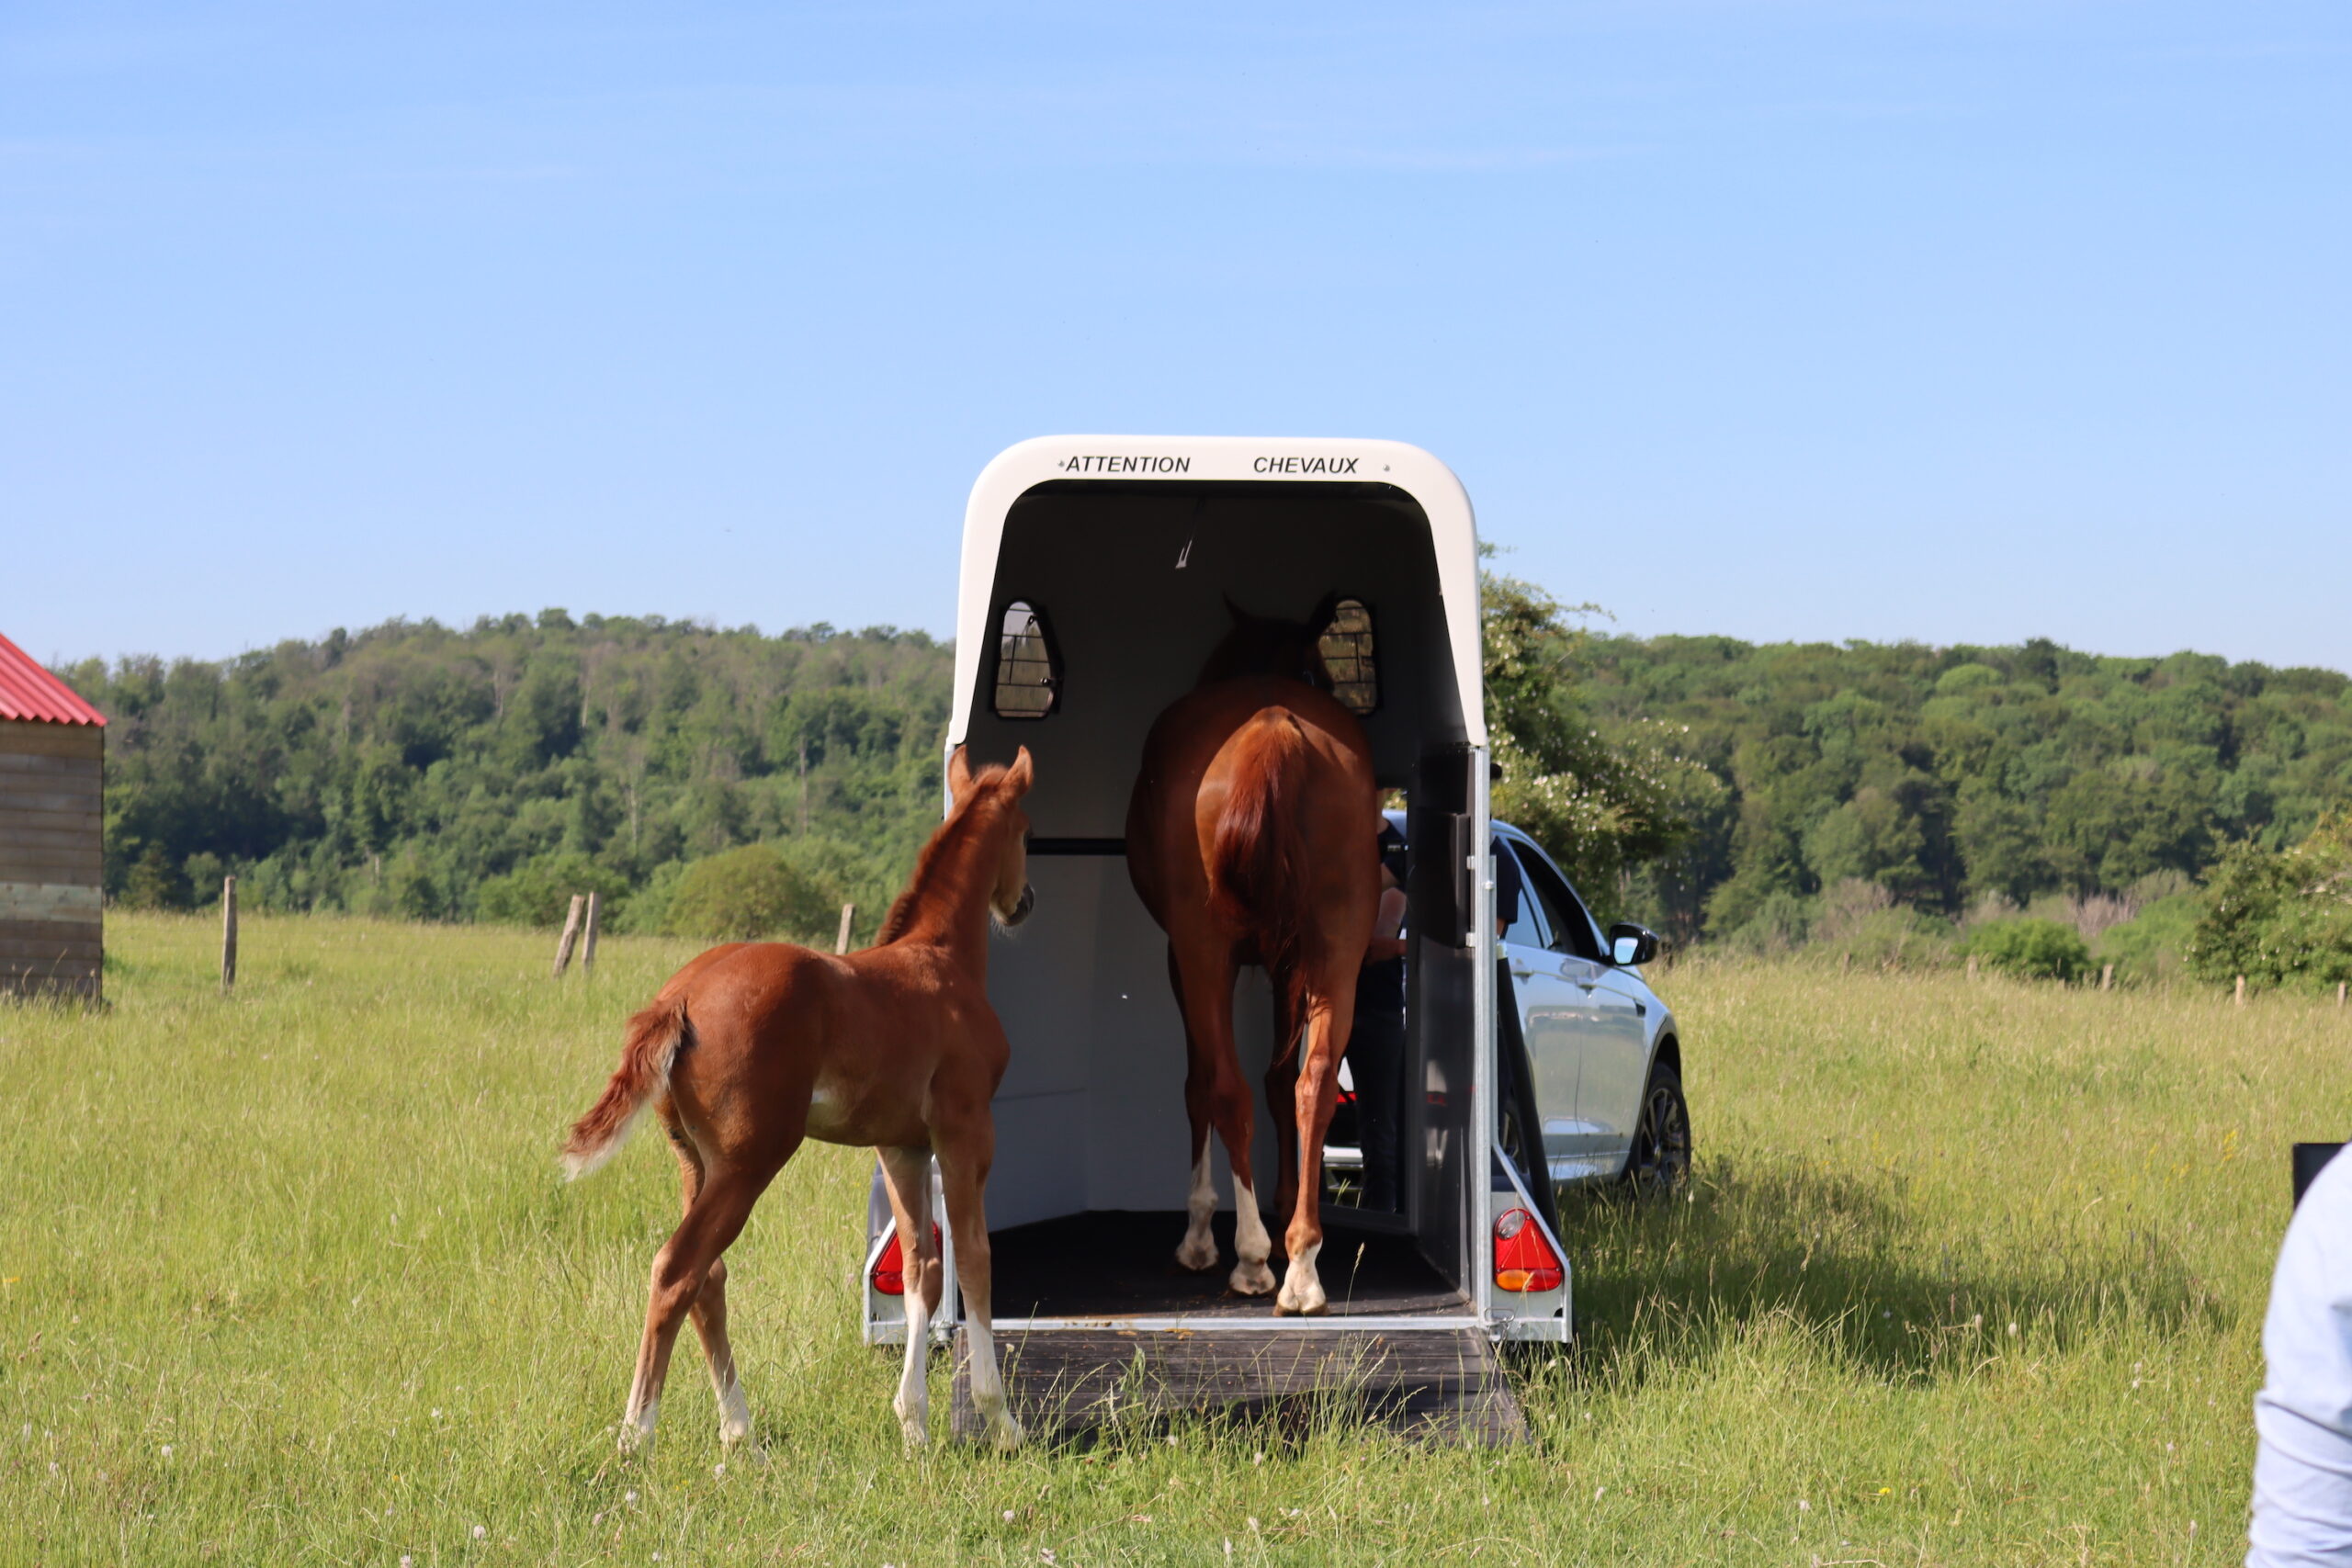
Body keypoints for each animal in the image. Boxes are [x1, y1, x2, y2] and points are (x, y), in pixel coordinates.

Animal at [560, 746, 1036, 1452]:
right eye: (1026, 831)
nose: (1024, 900)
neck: (943, 959)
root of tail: (678, 997)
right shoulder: (965, 1131)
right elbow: (974, 1259)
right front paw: (1000, 1419)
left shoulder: (900, 1144)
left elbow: (921, 1267)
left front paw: (914, 1423)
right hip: (749, 1159)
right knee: (676, 1269)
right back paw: (636, 1436)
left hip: (693, 1161)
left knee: (708, 1279)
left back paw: (740, 1433)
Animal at [1125, 601, 1382, 1315]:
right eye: (1324, 669)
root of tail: (1276, 733)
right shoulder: (1289, 964)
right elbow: (1280, 1080)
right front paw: (1285, 1202)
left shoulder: (1182, 958)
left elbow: (1201, 1085)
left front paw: (1200, 1233)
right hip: (1337, 948)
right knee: (1313, 1082)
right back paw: (1301, 1262)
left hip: (1205, 952)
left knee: (1227, 1087)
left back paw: (1249, 1255)